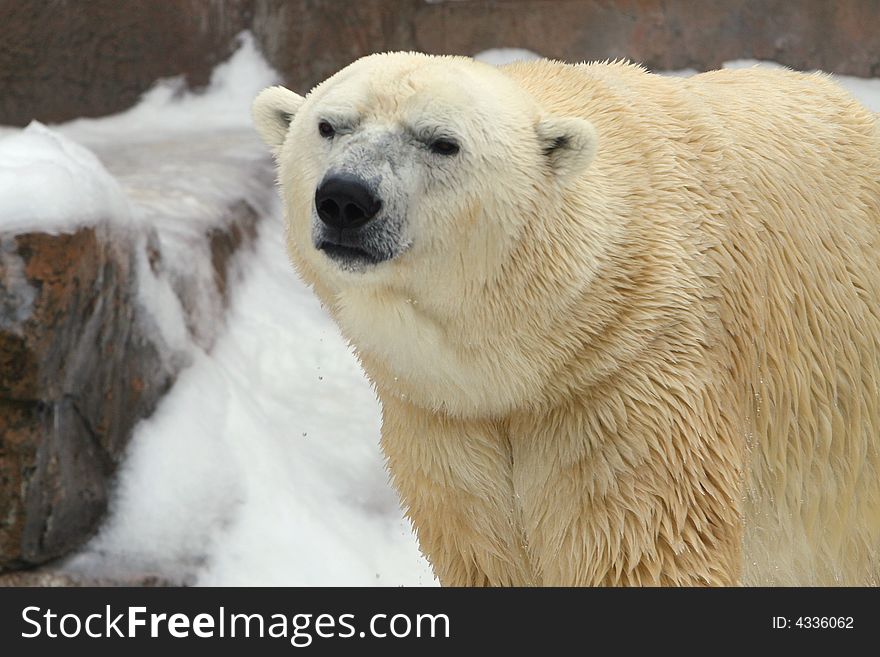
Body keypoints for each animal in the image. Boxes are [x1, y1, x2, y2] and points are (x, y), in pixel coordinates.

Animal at [251, 52, 880, 584]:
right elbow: (487, 552)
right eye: (329, 126)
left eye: (442, 142)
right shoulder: (446, 419)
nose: (346, 199)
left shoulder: (627, 390)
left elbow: (642, 549)